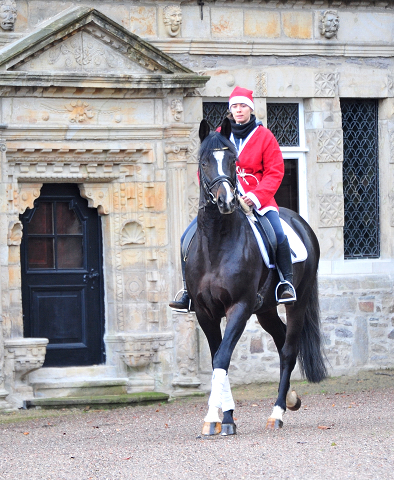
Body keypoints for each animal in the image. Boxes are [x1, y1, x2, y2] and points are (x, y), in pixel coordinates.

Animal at [186, 118, 328, 434]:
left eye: (232, 160)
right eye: (203, 162)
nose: (226, 201)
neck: (217, 243)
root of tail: (299, 221)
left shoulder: (238, 307)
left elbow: (223, 357)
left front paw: (214, 417)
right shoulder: (204, 311)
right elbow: (217, 359)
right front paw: (225, 417)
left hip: (296, 303)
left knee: (288, 350)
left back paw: (278, 412)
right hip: (264, 310)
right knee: (280, 339)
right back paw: (291, 398)